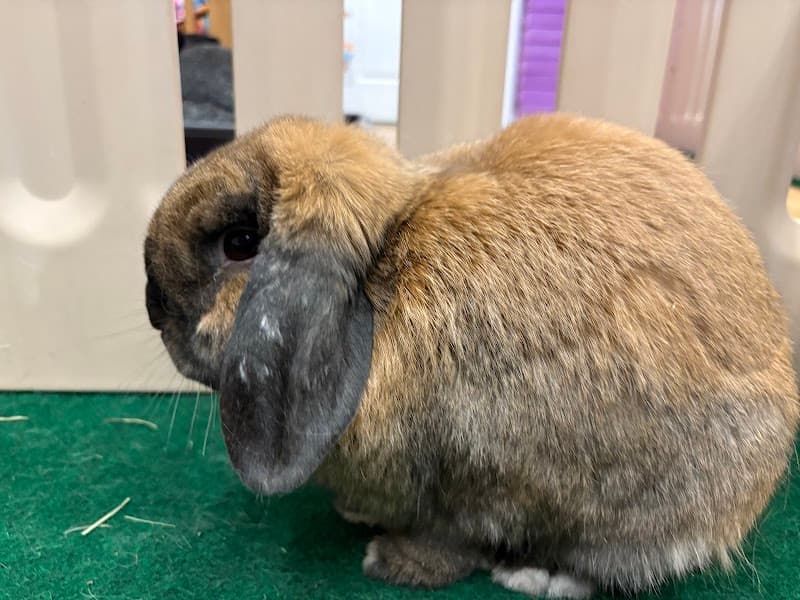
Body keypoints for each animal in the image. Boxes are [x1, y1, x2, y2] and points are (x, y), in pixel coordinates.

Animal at [144, 113, 799, 598]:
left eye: (240, 242)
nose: (152, 305)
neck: (390, 265)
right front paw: (357, 515)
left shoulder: (478, 473)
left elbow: (455, 539)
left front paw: (391, 562)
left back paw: (537, 574)